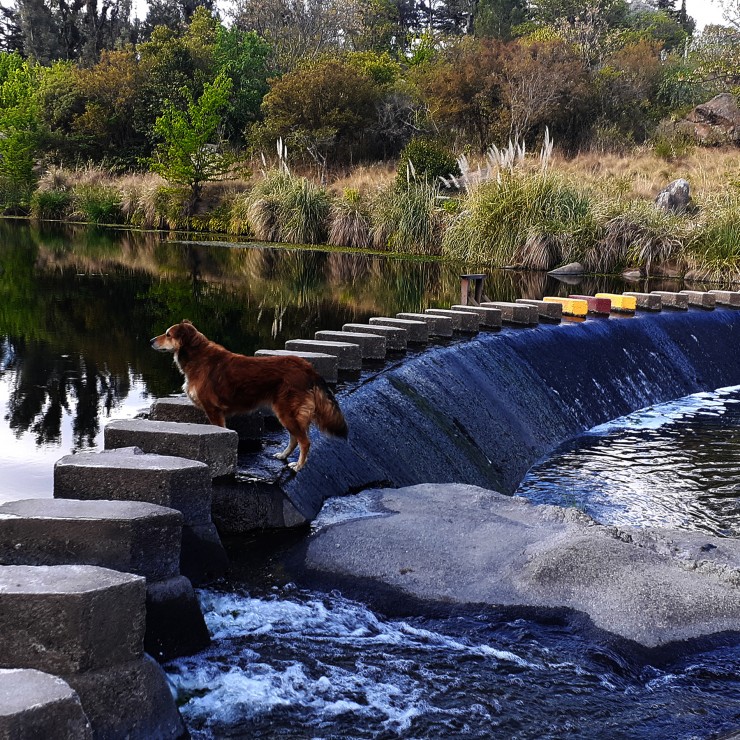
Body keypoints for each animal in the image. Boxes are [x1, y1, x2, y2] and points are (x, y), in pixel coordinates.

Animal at [150, 320, 350, 472]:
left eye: (168, 334)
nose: (150, 340)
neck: (197, 355)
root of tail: (307, 367)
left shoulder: (214, 410)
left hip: (287, 412)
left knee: (305, 441)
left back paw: (299, 466)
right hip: (287, 412)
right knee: (295, 438)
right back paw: (283, 455)